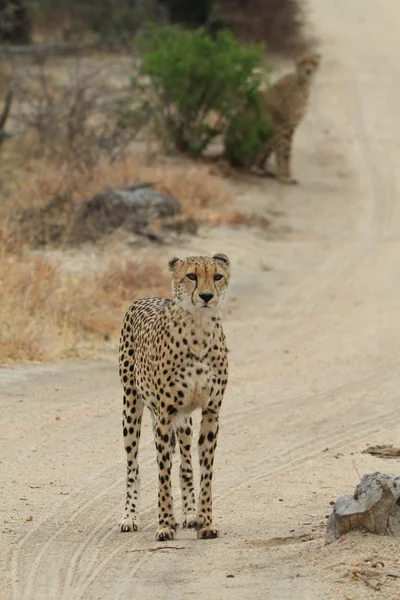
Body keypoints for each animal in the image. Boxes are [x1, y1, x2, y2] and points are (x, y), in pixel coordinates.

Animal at [117, 251, 230, 540]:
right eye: (191, 276)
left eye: (217, 276)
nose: (206, 296)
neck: (199, 329)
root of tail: (145, 298)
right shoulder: (164, 416)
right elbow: (162, 475)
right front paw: (166, 524)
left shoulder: (210, 412)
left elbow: (205, 471)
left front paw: (205, 521)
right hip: (131, 406)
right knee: (133, 467)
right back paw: (129, 517)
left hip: (185, 420)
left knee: (186, 465)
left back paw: (189, 514)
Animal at [256, 52, 322, 184]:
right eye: (302, 62)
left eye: (313, 62)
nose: (308, 71)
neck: (303, 83)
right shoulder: (283, 125)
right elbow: (283, 151)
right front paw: (284, 176)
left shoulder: (291, 126)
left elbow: (287, 150)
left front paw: (286, 174)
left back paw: (267, 171)